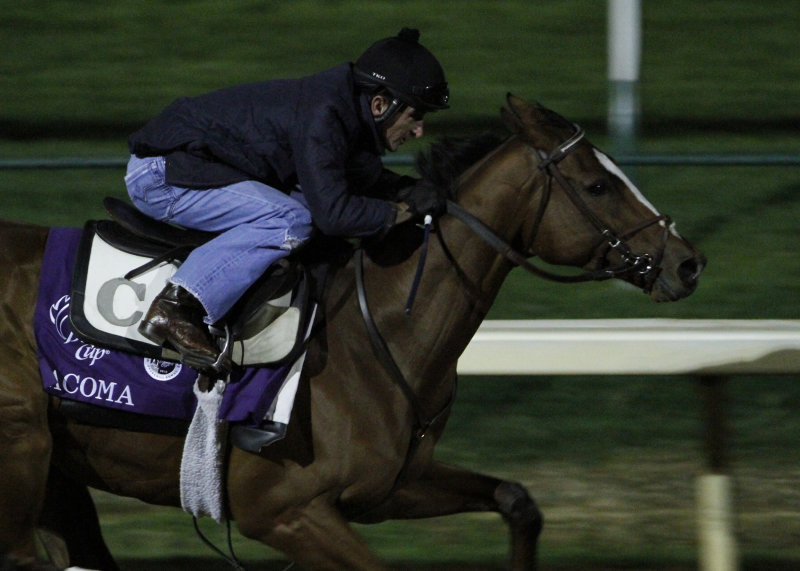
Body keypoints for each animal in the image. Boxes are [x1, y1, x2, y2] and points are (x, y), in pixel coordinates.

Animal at [0, 96, 700, 568]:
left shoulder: (392, 487)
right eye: (599, 185)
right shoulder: (284, 511)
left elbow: (517, 500)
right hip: (24, 443)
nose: (687, 262)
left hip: (60, 469)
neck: (384, 333)